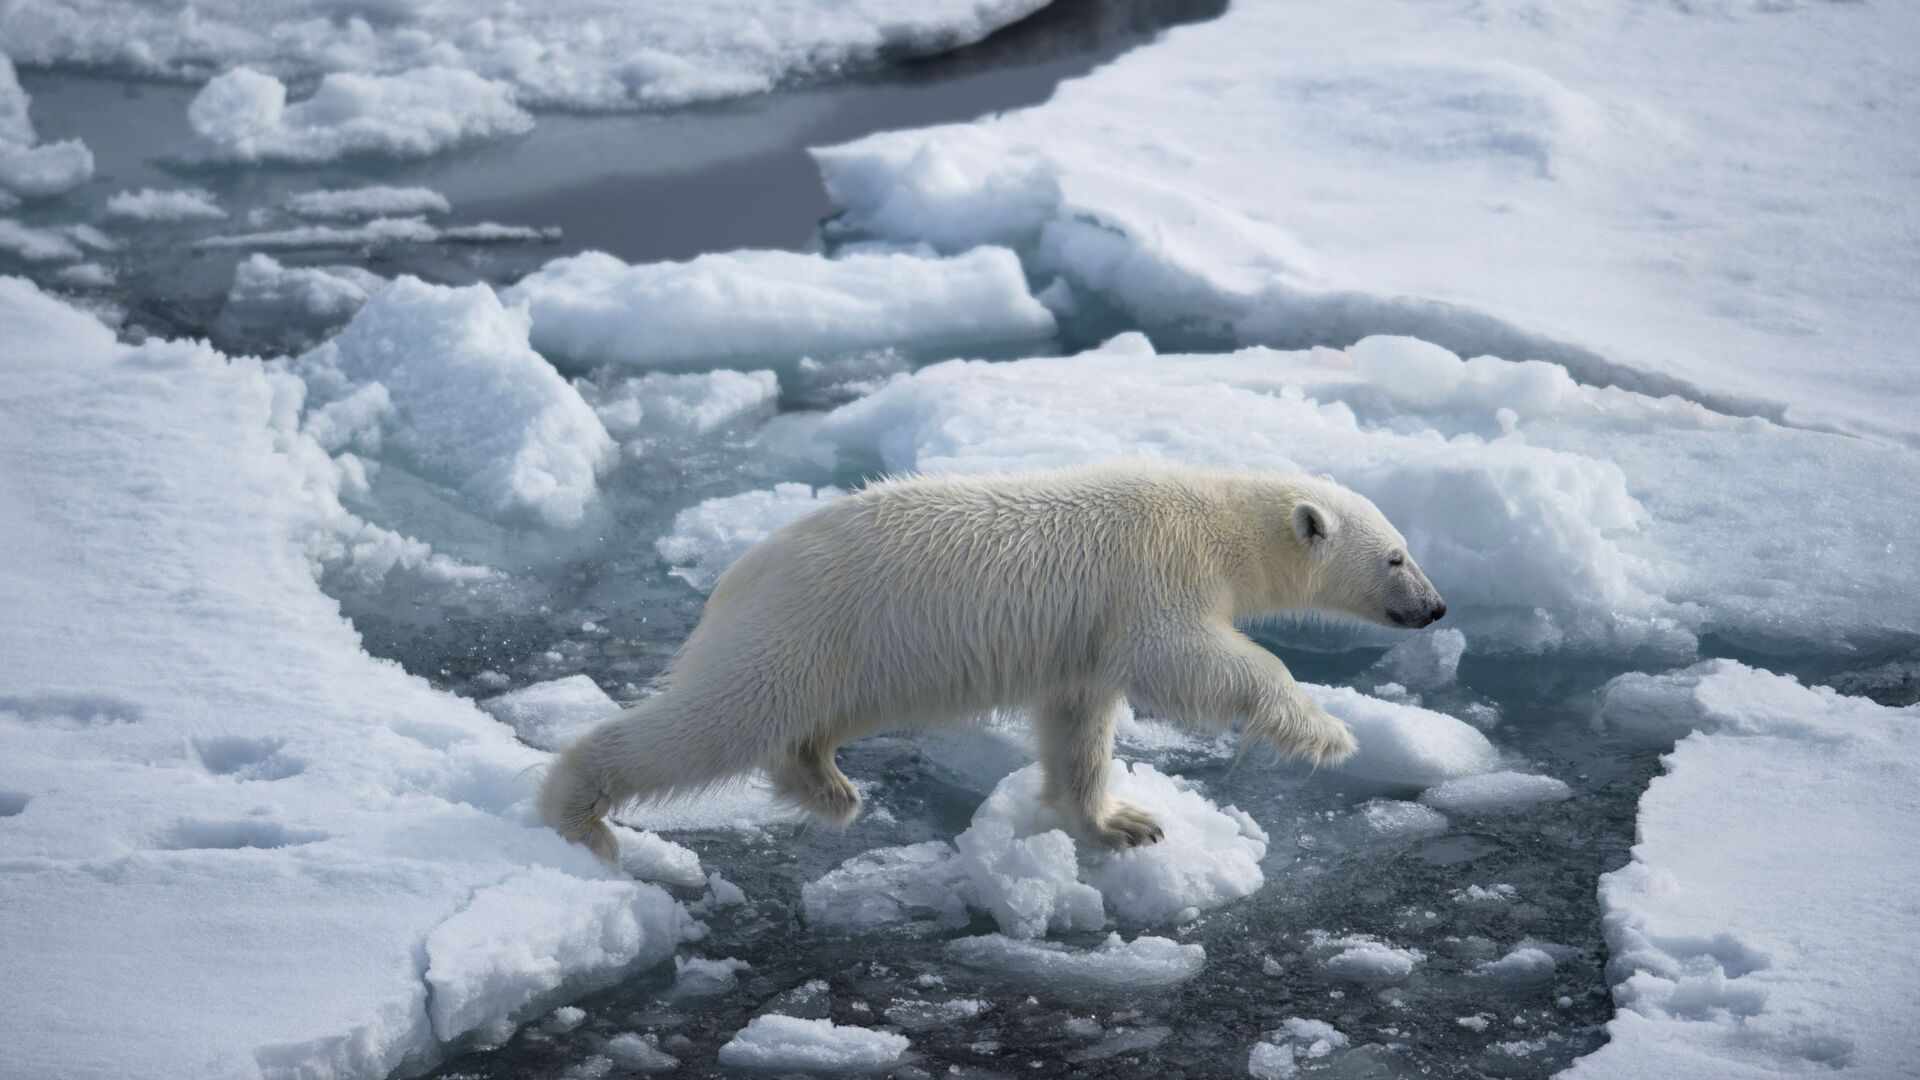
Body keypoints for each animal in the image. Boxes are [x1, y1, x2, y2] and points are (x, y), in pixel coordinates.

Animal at [541, 461, 1443, 857]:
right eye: (1396, 556)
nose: (1436, 607)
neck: (1215, 516)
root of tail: (739, 571)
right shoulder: (1155, 572)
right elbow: (1183, 657)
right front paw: (1328, 733)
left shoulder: (1087, 635)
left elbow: (1080, 720)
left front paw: (1122, 822)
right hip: (804, 624)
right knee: (720, 718)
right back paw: (580, 812)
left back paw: (830, 787)